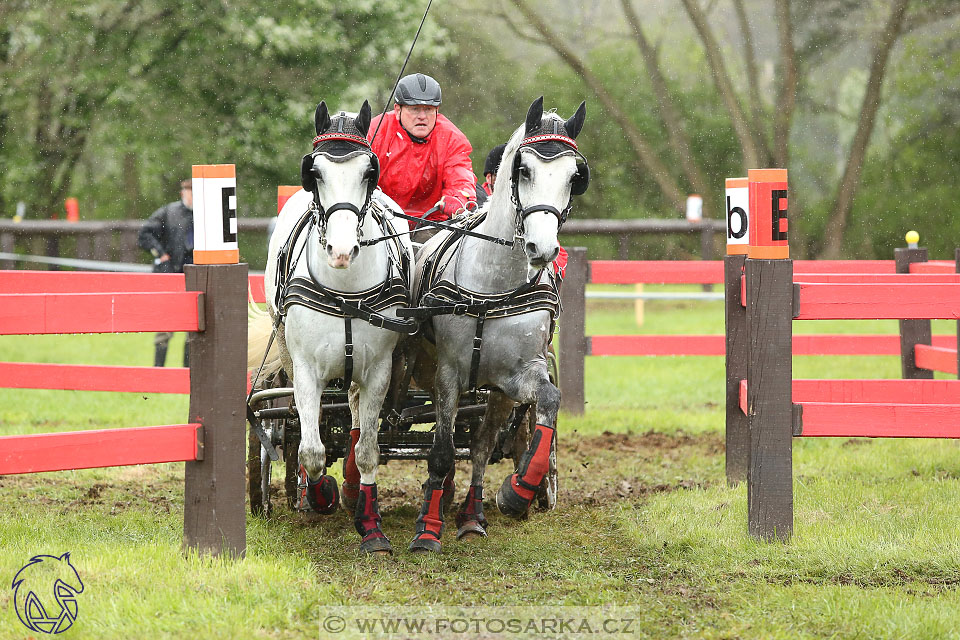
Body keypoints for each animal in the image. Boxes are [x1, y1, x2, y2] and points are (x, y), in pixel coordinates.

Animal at [248, 101, 412, 556]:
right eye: (315, 172)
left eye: (368, 172)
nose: (341, 251)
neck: (346, 288)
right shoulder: (306, 370)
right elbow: (311, 449)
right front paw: (320, 495)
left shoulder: (379, 369)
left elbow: (369, 448)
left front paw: (371, 527)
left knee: (354, 418)